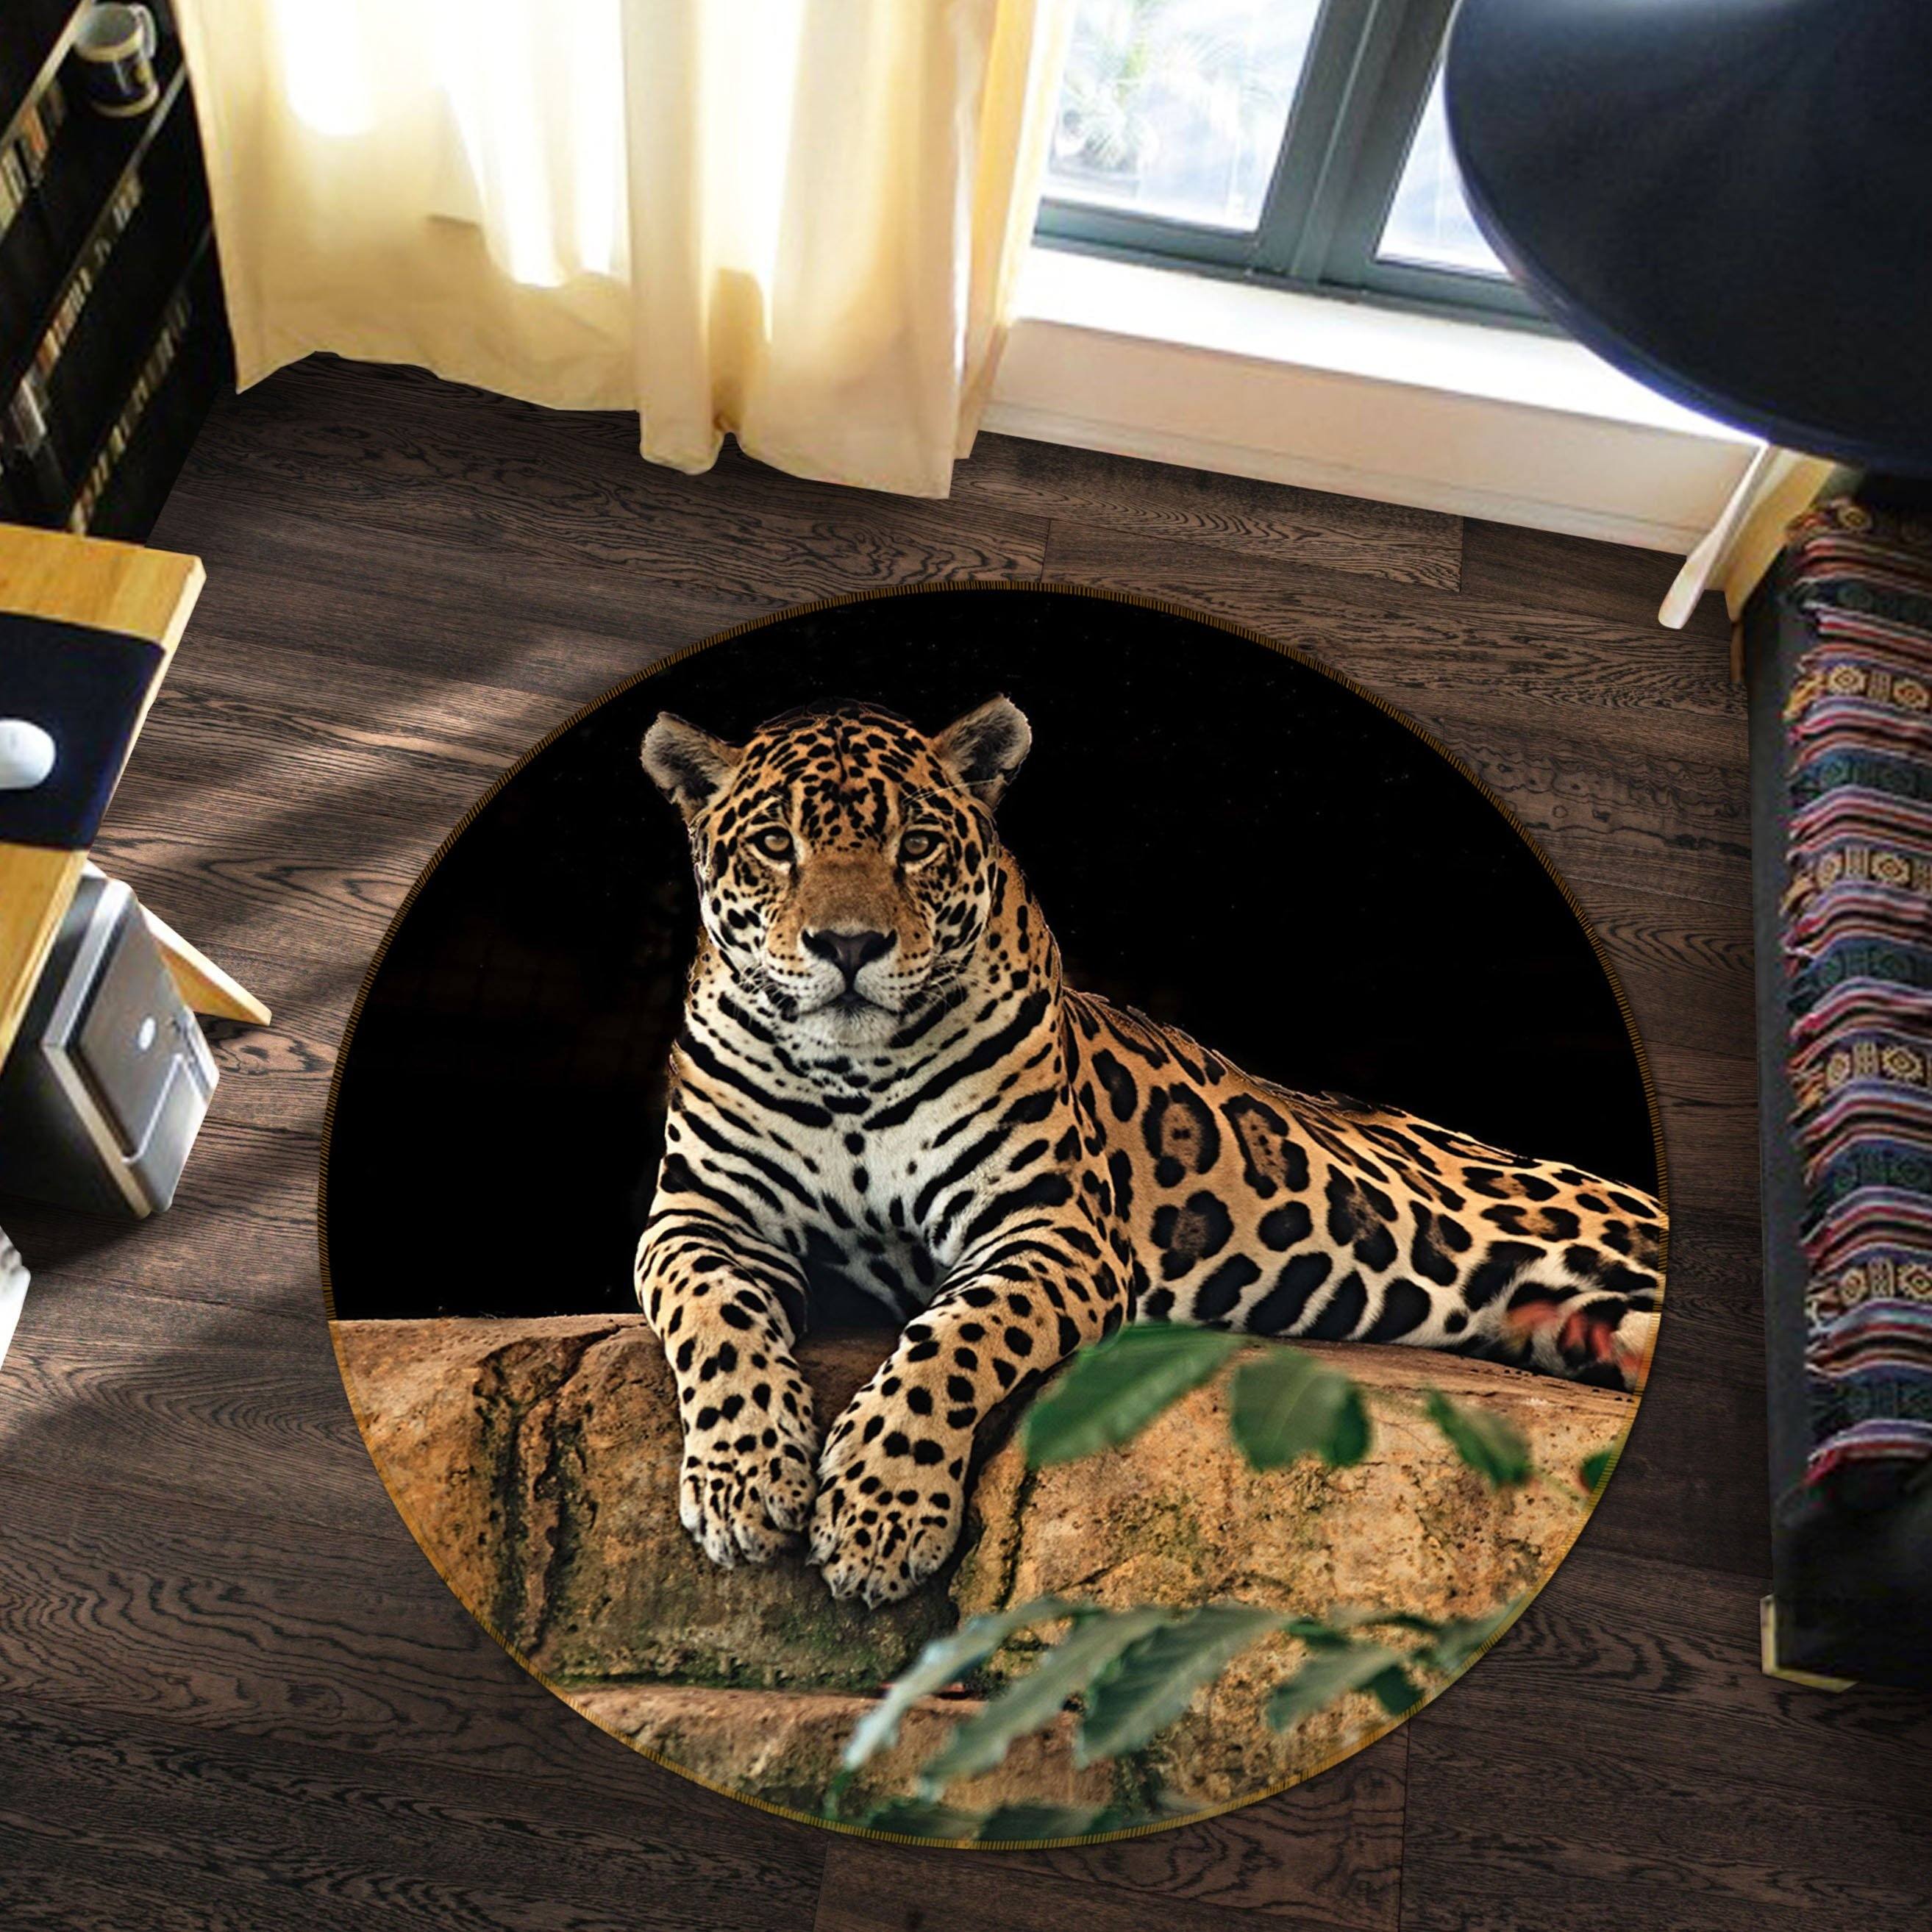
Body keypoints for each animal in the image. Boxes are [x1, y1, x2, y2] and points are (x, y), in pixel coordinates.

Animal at [634, 697, 1663, 1607]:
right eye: (776, 845)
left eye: (915, 844)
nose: (848, 945)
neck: (848, 1071)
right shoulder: (699, 1217)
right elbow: (715, 1315)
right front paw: (744, 1482)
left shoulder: (1050, 1231)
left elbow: (949, 1345)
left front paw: (878, 1515)